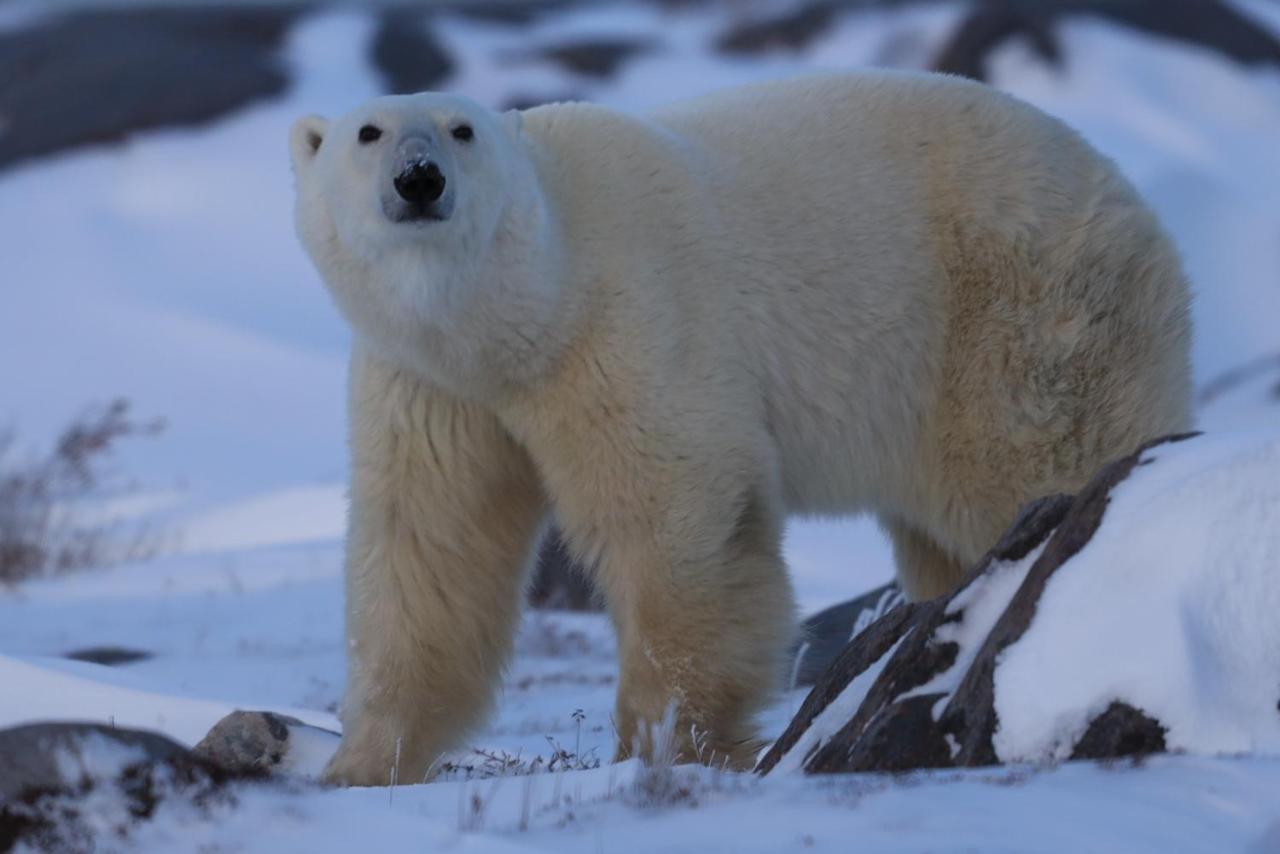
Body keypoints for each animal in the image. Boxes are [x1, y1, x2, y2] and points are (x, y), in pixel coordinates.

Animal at [288, 73, 1187, 788]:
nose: (419, 178)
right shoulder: (433, 389)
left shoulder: (631, 323)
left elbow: (677, 517)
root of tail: (1128, 195)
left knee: (1039, 458)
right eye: (369, 133)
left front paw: (667, 745)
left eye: (461, 129)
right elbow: (427, 551)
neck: (523, 316)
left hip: (1018, 318)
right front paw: (362, 762)